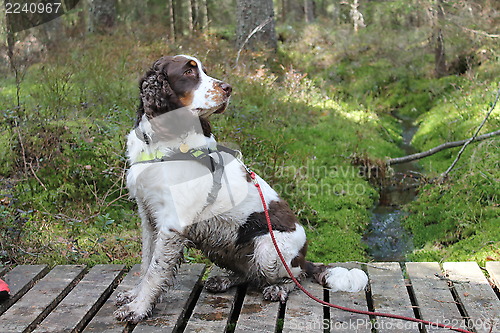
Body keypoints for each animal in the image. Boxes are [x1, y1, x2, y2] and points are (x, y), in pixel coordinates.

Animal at [115, 54, 370, 322]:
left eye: (203, 70)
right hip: (219, 242)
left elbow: (155, 271)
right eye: (188, 72)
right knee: (249, 273)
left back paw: (277, 288)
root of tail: (304, 257)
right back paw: (223, 280)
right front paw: (133, 296)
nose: (228, 88)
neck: (162, 145)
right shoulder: (149, 217)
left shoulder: (172, 223)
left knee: (294, 277)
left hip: (268, 249)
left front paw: (137, 309)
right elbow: (146, 263)